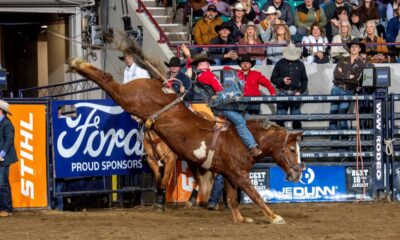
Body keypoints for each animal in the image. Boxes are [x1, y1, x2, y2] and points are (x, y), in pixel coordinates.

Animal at [69, 52, 304, 225]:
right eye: (292, 149)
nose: (298, 173)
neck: (243, 140)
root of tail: (159, 83)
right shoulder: (239, 175)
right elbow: (255, 195)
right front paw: (274, 216)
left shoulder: (229, 174)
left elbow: (231, 199)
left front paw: (240, 218)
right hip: (129, 98)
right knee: (109, 81)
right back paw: (79, 63)